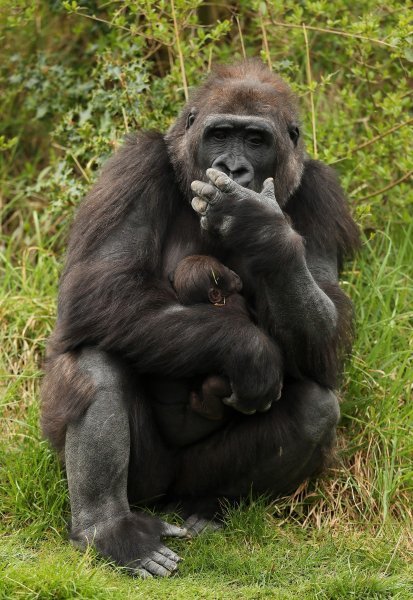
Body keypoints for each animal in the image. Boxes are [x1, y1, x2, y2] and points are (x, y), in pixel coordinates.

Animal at [41, 61, 358, 576]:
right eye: (220, 134)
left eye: (256, 139)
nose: (232, 168)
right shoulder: (135, 164)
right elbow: (100, 288)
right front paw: (251, 352)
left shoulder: (323, 194)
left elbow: (323, 344)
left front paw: (261, 228)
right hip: (146, 484)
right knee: (95, 360)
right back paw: (109, 529)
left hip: (190, 479)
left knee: (315, 408)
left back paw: (208, 505)